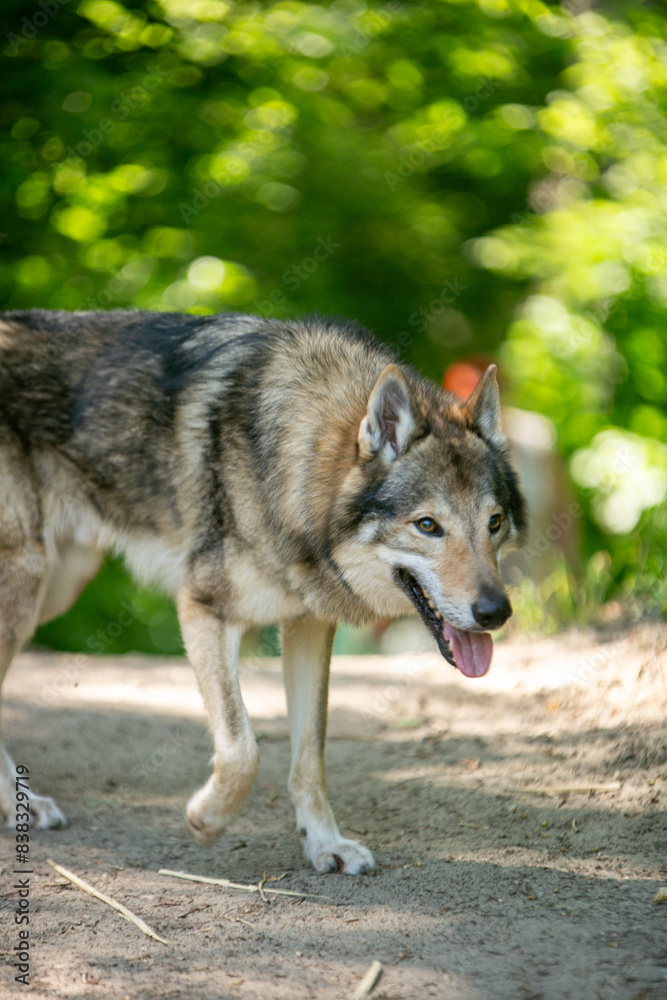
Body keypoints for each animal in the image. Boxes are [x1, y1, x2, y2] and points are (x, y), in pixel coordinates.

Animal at [0, 309, 525, 874]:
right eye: (428, 525)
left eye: (494, 523)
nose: (496, 612)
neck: (292, 471)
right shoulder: (204, 608)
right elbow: (243, 751)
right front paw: (207, 819)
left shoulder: (309, 625)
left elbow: (310, 754)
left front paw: (325, 844)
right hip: (28, 582)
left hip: (59, 585)